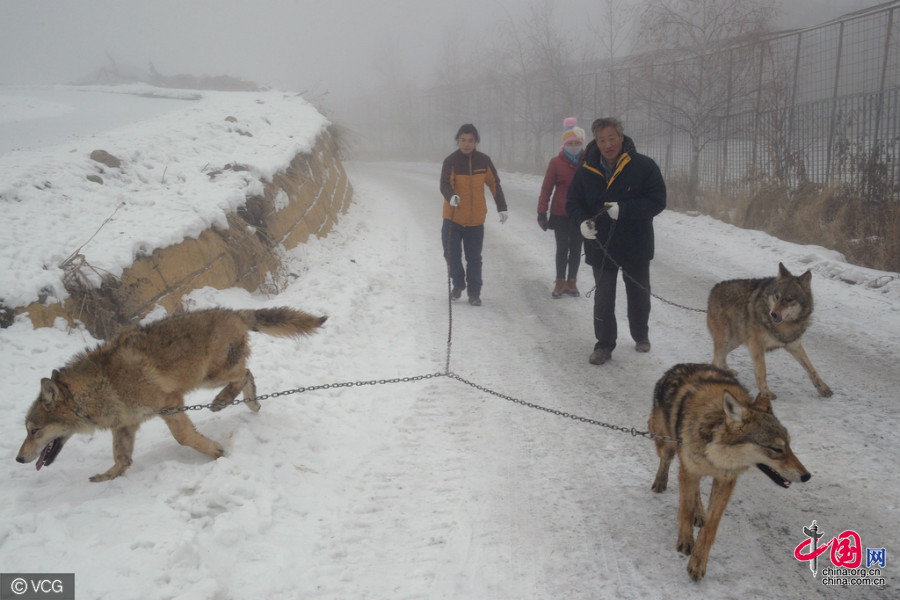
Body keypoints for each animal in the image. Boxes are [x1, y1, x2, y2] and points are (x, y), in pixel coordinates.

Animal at [15, 310, 326, 482]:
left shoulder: (170, 404)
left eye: (34, 430)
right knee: (248, 375)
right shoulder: (125, 425)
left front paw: (216, 452)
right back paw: (250, 403)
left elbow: (184, 437)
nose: (18, 459)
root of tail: (234, 312)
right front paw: (109, 476)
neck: (101, 386)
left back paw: (223, 401)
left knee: (245, 373)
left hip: (209, 377)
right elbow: (121, 458)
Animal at [648, 364, 808, 580]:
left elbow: (710, 528)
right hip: (667, 443)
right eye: (776, 449)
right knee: (666, 460)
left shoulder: (726, 480)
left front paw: (698, 563)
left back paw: (700, 513)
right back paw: (661, 482)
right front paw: (686, 541)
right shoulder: (689, 469)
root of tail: (677, 366)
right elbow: (685, 509)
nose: (807, 476)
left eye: (789, 445)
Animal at [708, 262, 832, 398]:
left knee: (721, 357)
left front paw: (823, 388)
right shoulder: (756, 345)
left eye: (789, 299)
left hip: (735, 341)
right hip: (726, 340)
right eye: (777, 296)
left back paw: (727, 371)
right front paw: (765, 392)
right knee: (716, 359)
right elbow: (761, 371)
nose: (773, 314)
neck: (784, 326)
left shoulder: (794, 346)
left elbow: (812, 369)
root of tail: (715, 287)